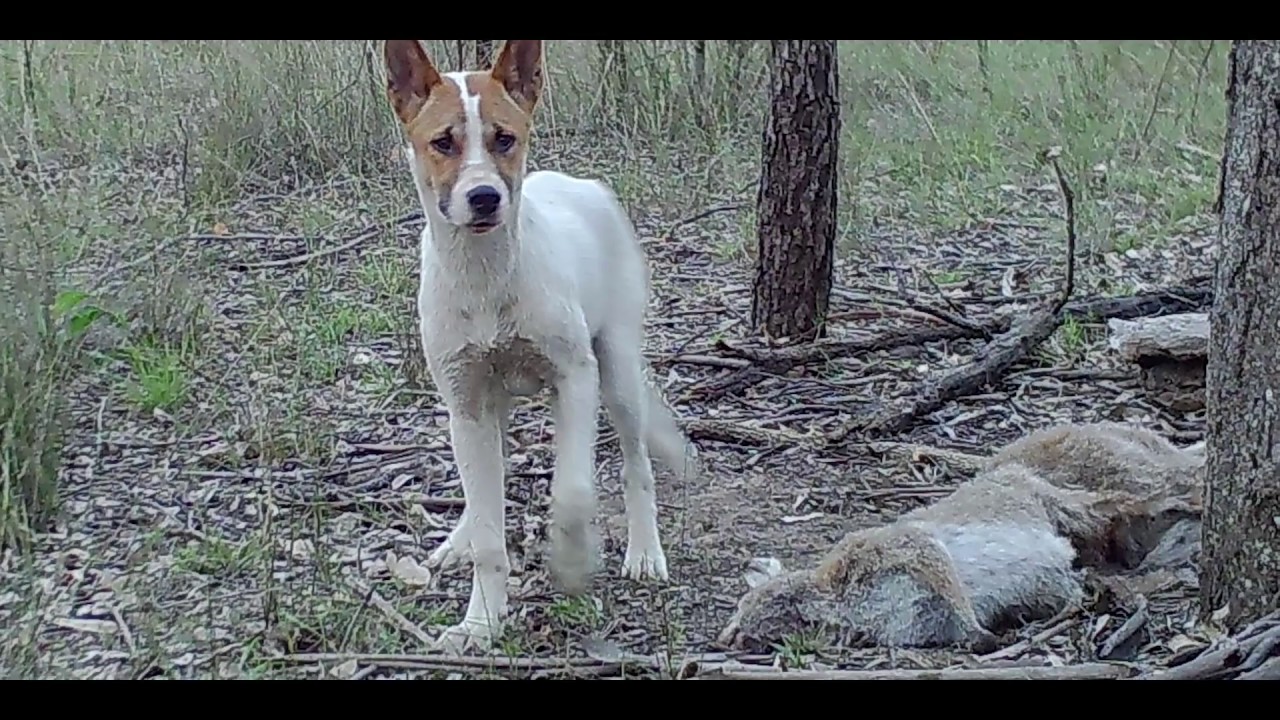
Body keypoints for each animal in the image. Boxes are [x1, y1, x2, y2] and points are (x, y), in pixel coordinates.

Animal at [378, 39, 701, 650]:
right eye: (443, 142)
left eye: (505, 138)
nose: (484, 198)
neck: (486, 278)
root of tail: (586, 185)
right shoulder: (466, 403)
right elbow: (488, 528)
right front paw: (480, 619)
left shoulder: (575, 379)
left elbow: (572, 492)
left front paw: (572, 563)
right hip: (490, 405)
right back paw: (458, 538)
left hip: (617, 371)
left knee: (636, 464)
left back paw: (645, 552)